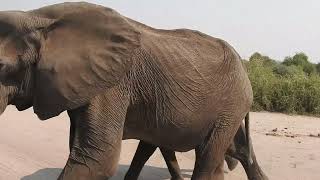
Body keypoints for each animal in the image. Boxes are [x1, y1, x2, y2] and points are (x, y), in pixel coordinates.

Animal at [0, 1, 268, 180]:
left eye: (2, 66)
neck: (37, 17)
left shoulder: (112, 84)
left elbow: (99, 158)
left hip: (231, 105)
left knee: (210, 155)